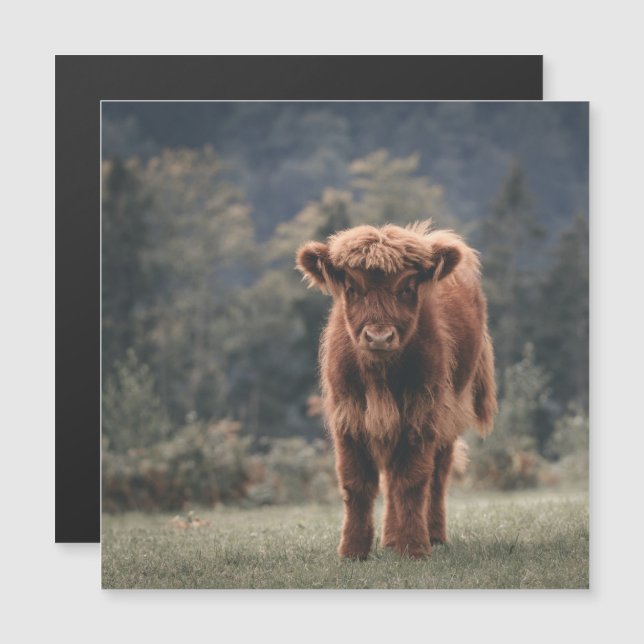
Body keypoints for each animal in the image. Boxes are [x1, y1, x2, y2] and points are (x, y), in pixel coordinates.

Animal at [296, 221, 497, 559]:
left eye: (406, 288)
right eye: (352, 288)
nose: (379, 337)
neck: (380, 376)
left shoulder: (422, 412)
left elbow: (412, 481)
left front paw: (414, 547)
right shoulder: (348, 416)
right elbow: (356, 483)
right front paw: (352, 551)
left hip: (450, 411)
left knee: (437, 474)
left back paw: (433, 535)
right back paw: (390, 539)